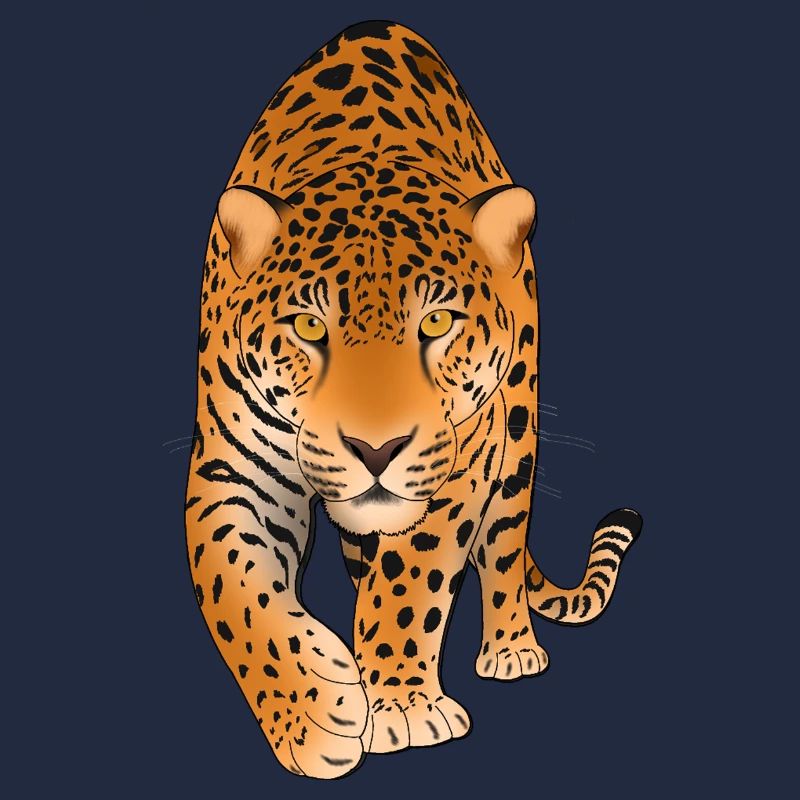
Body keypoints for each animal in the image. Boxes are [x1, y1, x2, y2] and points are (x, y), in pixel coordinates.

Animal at [185, 20, 642, 779]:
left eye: (436, 322)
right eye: (310, 327)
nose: (376, 450)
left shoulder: (459, 464)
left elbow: (411, 579)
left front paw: (399, 704)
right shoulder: (232, 467)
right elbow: (234, 587)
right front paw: (313, 712)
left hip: (516, 431)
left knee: (505, 545)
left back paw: (511, 648)